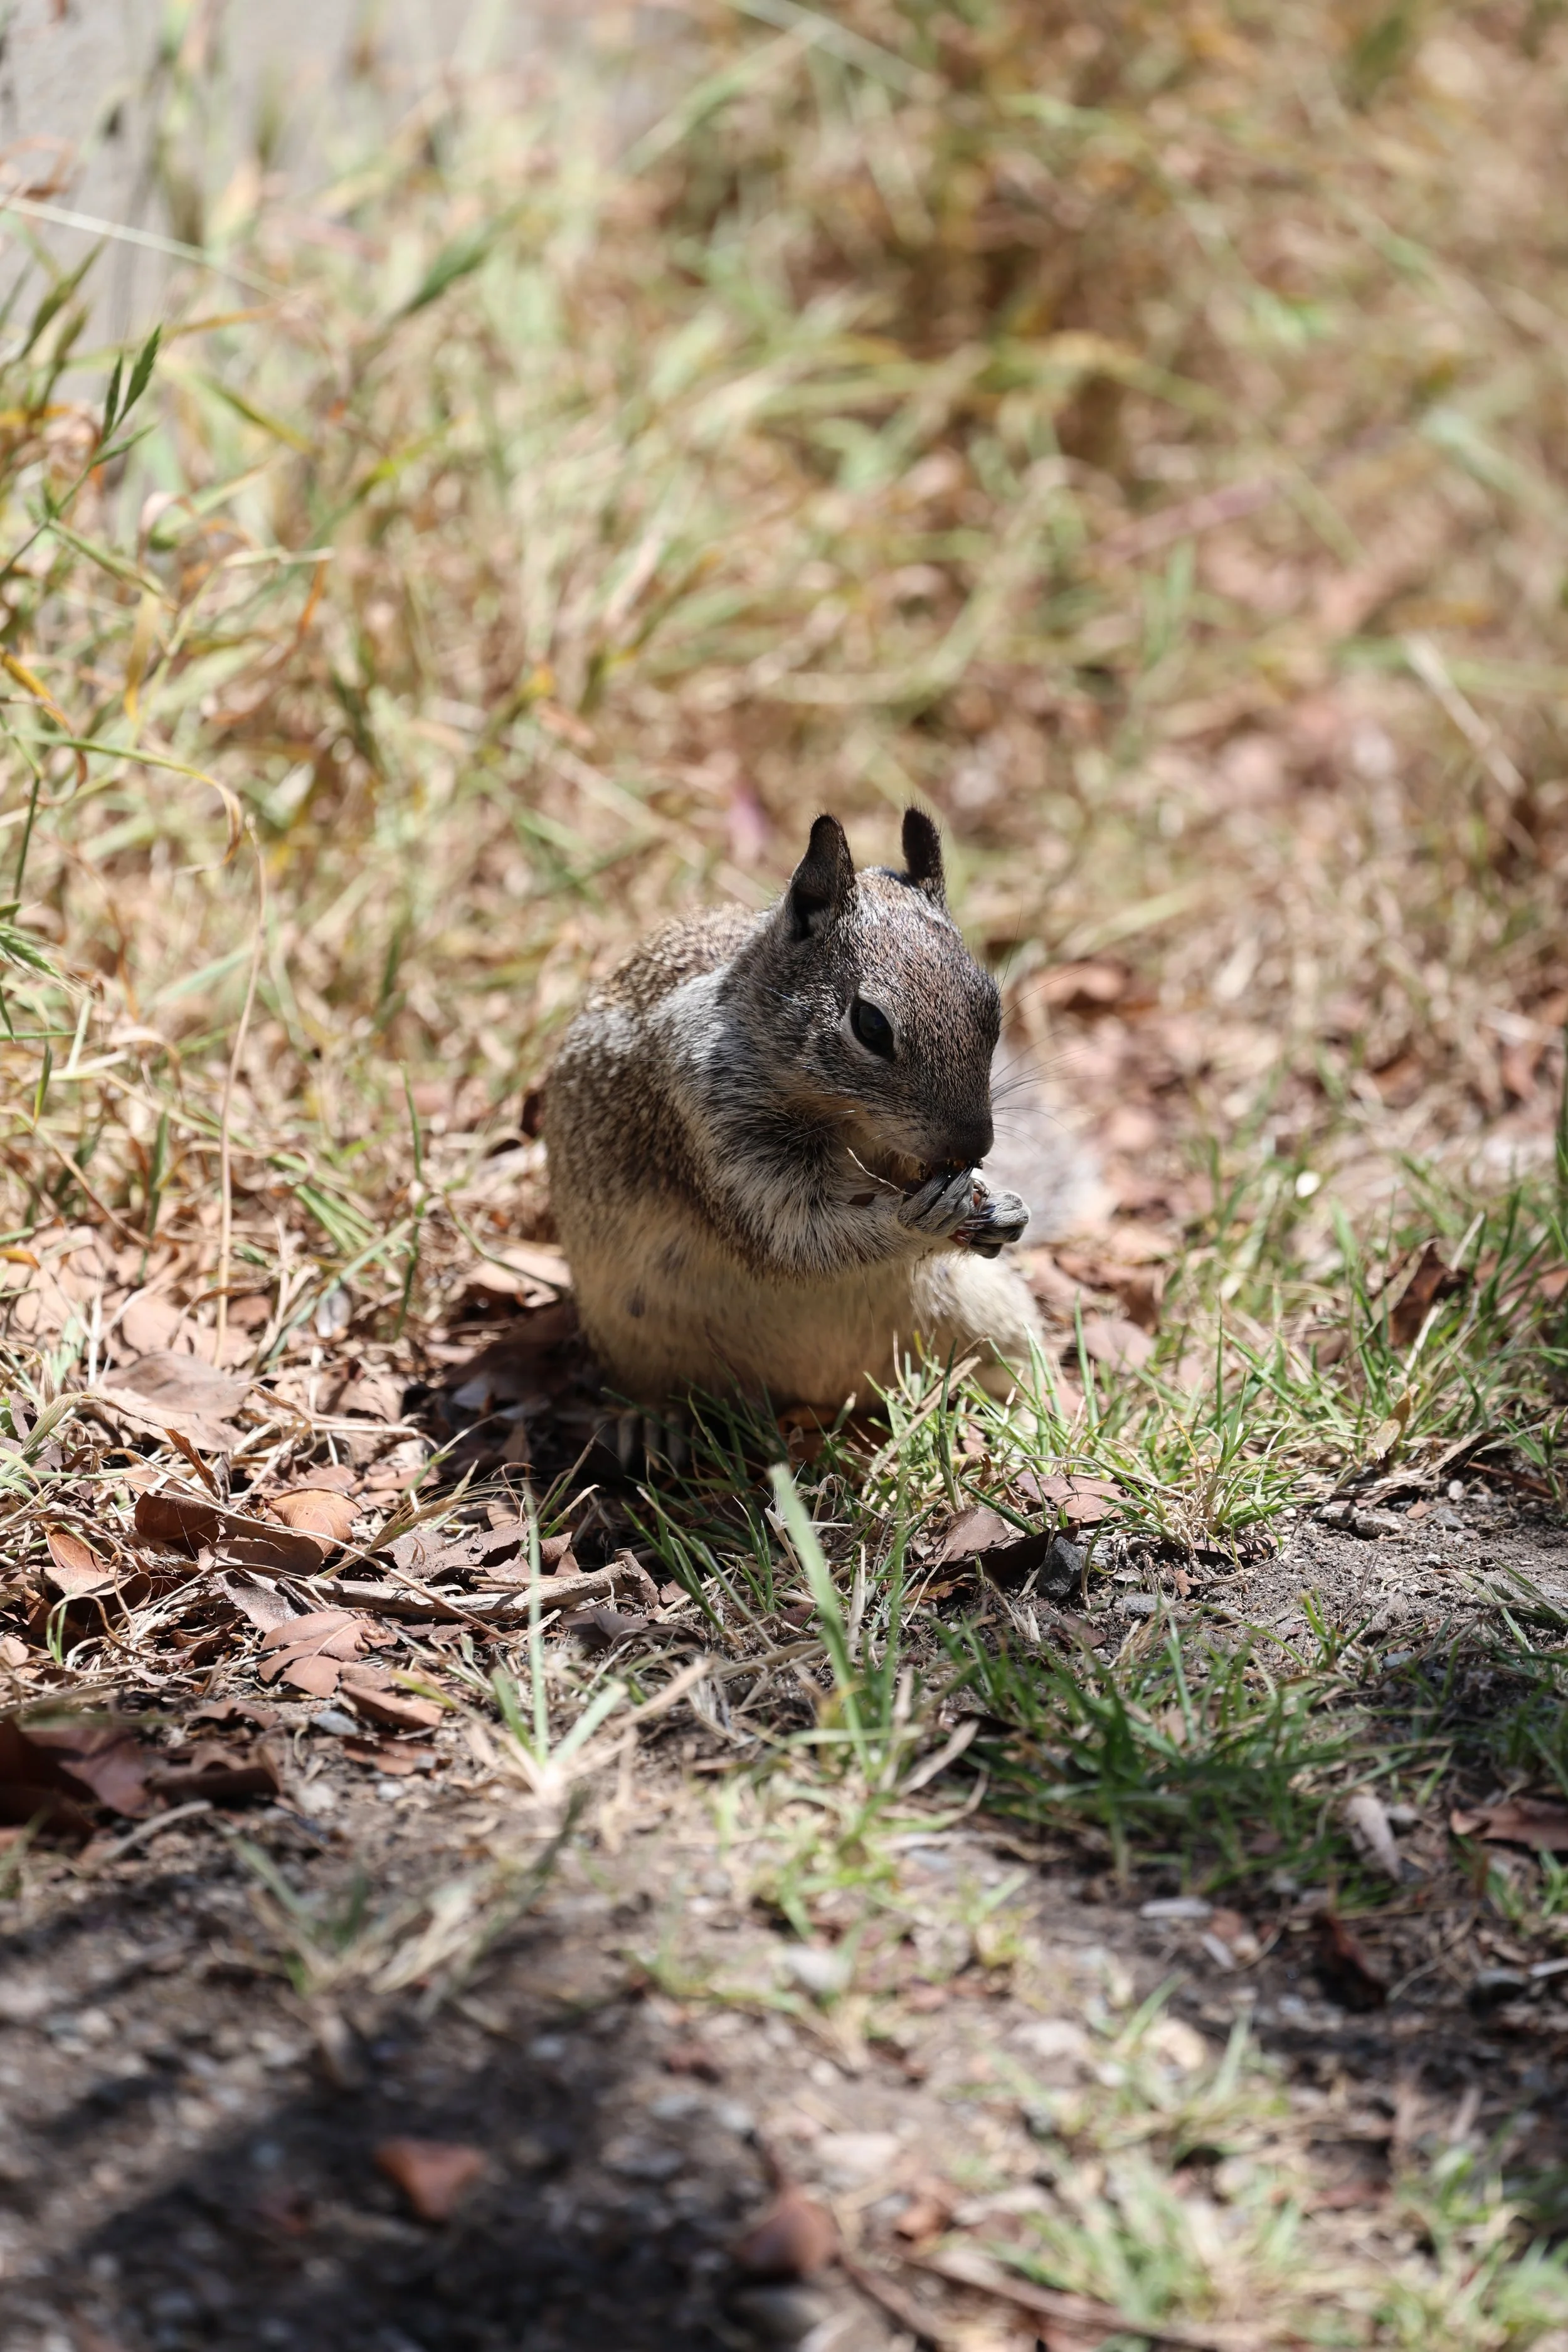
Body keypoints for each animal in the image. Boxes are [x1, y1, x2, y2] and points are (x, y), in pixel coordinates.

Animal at [543, 808, 1044, 1409]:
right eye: (870, 1025)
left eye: (992, 1005)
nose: (975, 1147)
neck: (848, 1122)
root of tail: (826, 1395)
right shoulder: (714, 1131)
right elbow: (799, 1235)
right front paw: (918, 1220)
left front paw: (1007, 1208)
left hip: (988, 1316)